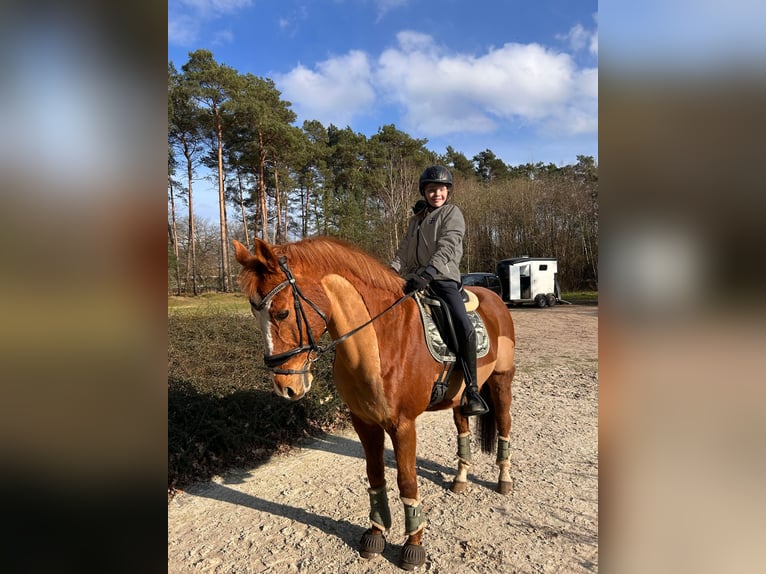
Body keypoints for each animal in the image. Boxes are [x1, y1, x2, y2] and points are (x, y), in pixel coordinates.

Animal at [234, 237, 516, 572]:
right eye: (254, 314)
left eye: (282, 313)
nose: (285, 387)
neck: (378, 340)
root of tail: (494, 298)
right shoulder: (364, 422)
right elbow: (375, 475)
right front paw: (376, 533)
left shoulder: (403, 425)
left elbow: (407, 482)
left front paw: (413, 545)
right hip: (459, 398)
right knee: (463, 430)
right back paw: (460, 479)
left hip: (501, 381)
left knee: (505, 424)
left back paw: (504, 479)